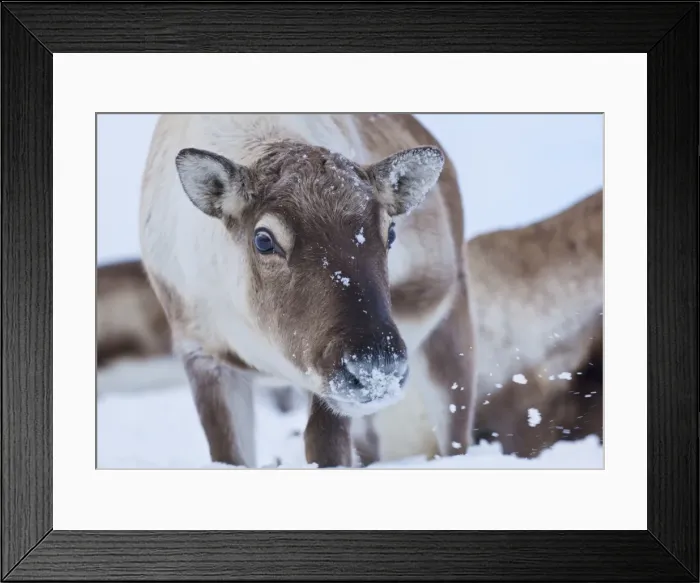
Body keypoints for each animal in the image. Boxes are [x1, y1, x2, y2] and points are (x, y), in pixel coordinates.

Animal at [137, 114, 477, 468]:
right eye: (263, 239)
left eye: (391, 231)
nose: (376, 366)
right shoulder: (202, 351)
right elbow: (229, 454)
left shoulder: (324, 381)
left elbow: (325, 448)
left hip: (448, 333)